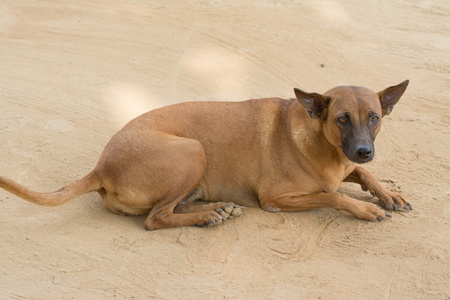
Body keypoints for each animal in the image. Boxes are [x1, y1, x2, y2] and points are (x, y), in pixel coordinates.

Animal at [0, 79, 412, 230]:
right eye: (342, 119)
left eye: (374, 117)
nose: (364, 150)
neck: (320, 139)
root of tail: (100, 168)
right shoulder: (276, 198)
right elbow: (333, 195)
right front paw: (366, 208)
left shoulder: (349, 165)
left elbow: (360, 175)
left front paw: (388, 194)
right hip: (192, 150)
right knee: (155, 219)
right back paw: (207, 215)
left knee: (169, 208)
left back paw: (215, 209)